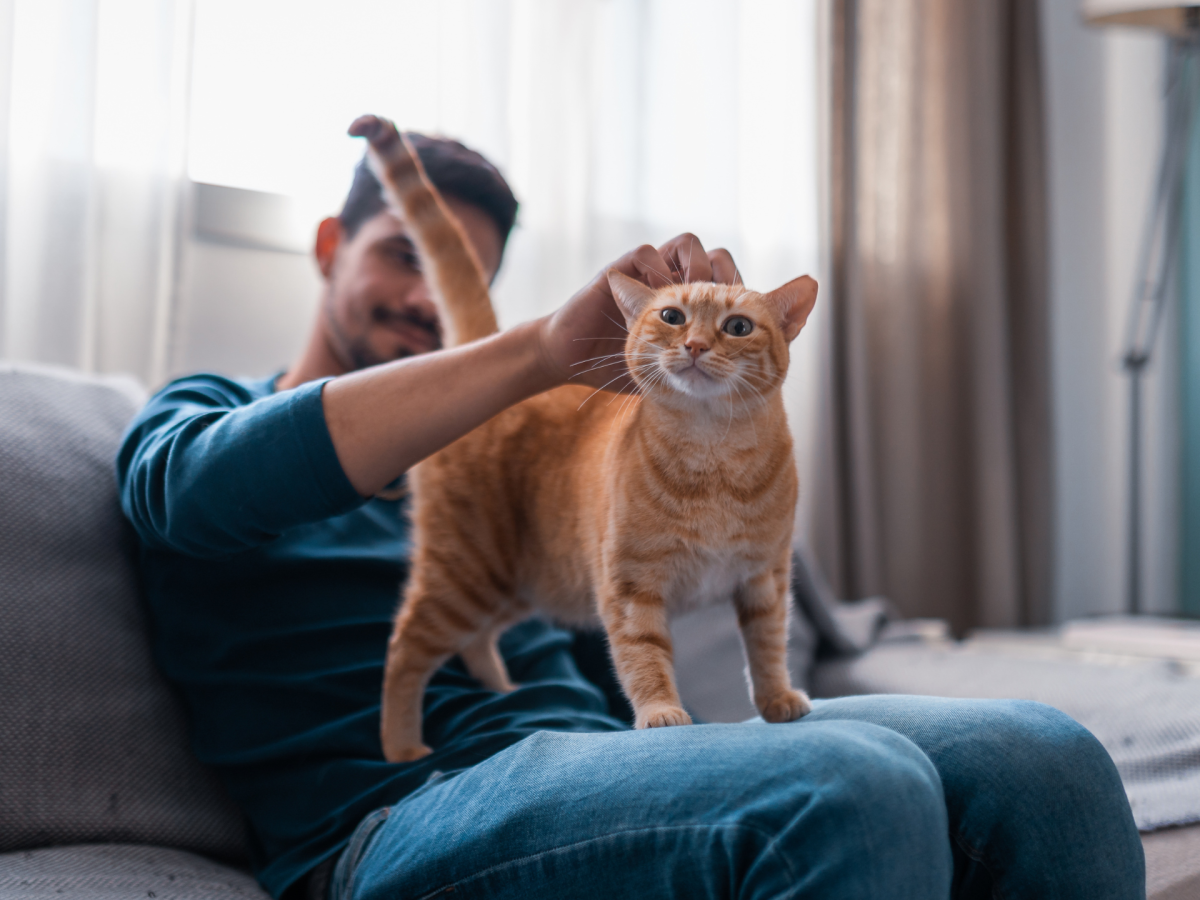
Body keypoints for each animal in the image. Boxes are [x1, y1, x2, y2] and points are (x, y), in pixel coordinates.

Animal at [348, 112, 816, 763]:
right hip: (466, 571)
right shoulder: (630, 588)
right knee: (405, 645)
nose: (696, 346)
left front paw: (777, 701)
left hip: (520, 583)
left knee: (475, 640)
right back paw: (403, 746)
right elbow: (643, 656)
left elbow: (769, 648)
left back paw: (502, 689)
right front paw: (661, 714)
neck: (714, 456)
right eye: (672, 317)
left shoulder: (765, 579)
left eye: (738, 327)